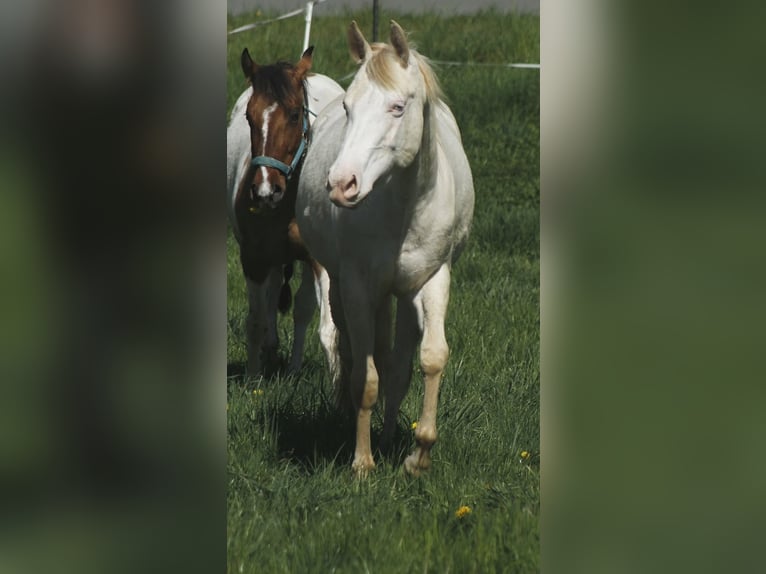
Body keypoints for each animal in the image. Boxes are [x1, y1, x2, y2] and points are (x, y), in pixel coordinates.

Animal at [227, 46, 343, 378]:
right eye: (249, 116)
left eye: (294, 115)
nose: (267, 189)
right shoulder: (253, 258)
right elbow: (255, 322)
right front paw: (253, 379)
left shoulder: (320, 261)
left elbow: (328, 330)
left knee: (302, 309)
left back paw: (292, 368)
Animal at [296, 21, 475, 476]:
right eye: (348, 109)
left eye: (397, 107)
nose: (342, 184)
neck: (403, 206)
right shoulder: (358, 286)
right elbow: (366, 377)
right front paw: (362, 462)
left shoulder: (433, 279)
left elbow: (431, 358)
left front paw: (419, 454)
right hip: (343, 284)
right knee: (349, 347)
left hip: (405, 293)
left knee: (399, 363)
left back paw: (393, 434)